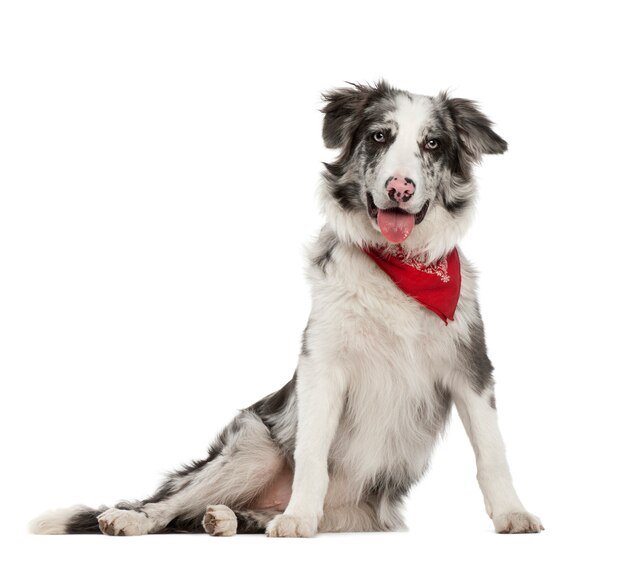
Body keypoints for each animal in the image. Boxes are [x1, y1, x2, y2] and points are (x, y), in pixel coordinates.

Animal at [30, 81, 540, 536]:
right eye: (380, 136)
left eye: (433, 144)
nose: (399, 187)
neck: (399, 268)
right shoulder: (321, 368)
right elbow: (313, 452)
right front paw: (298, 519)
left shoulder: (470, 367)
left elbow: (492, 451)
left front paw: (512, 513)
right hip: (253, 446)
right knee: (168, 505)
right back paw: (133, 519)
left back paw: (229, 519)